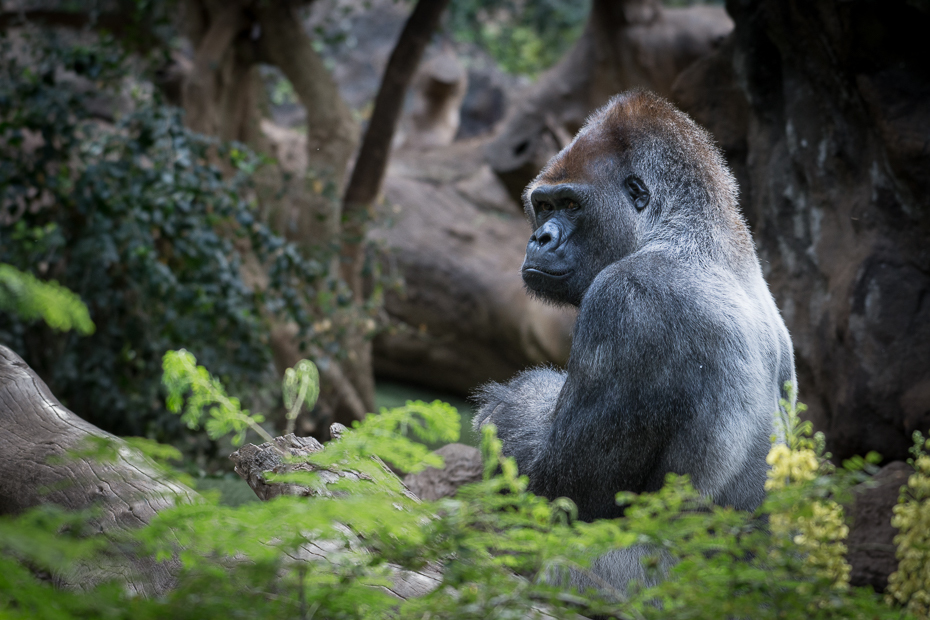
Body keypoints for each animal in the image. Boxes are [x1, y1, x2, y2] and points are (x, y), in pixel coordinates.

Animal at [474, 91, 792, 528]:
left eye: (571, 204)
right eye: (544, 206)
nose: (540, 238)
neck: (687, 231)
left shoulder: (625, 299)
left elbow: (562, 493)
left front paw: (507, 406)